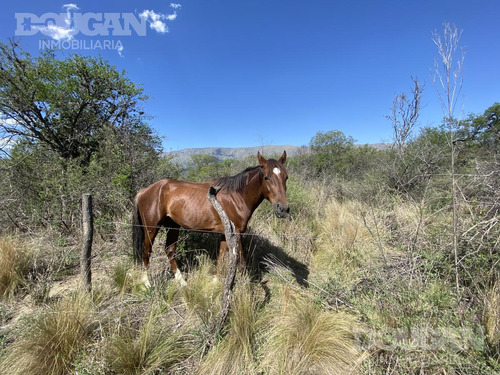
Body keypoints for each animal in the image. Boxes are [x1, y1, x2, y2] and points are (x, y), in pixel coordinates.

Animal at [132, 151, 290, 284]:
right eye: (267, 177)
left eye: (286, 177)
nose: (283, 209)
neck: (236, 197)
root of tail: (143, 191)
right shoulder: (237, 233)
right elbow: (241, 263)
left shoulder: (225, 234)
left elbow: (220, 256)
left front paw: (214, 281)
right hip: (151, 228)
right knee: (146, 250)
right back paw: (146, 283)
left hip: (172, 226)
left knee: (169, 250)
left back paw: (181, 281)